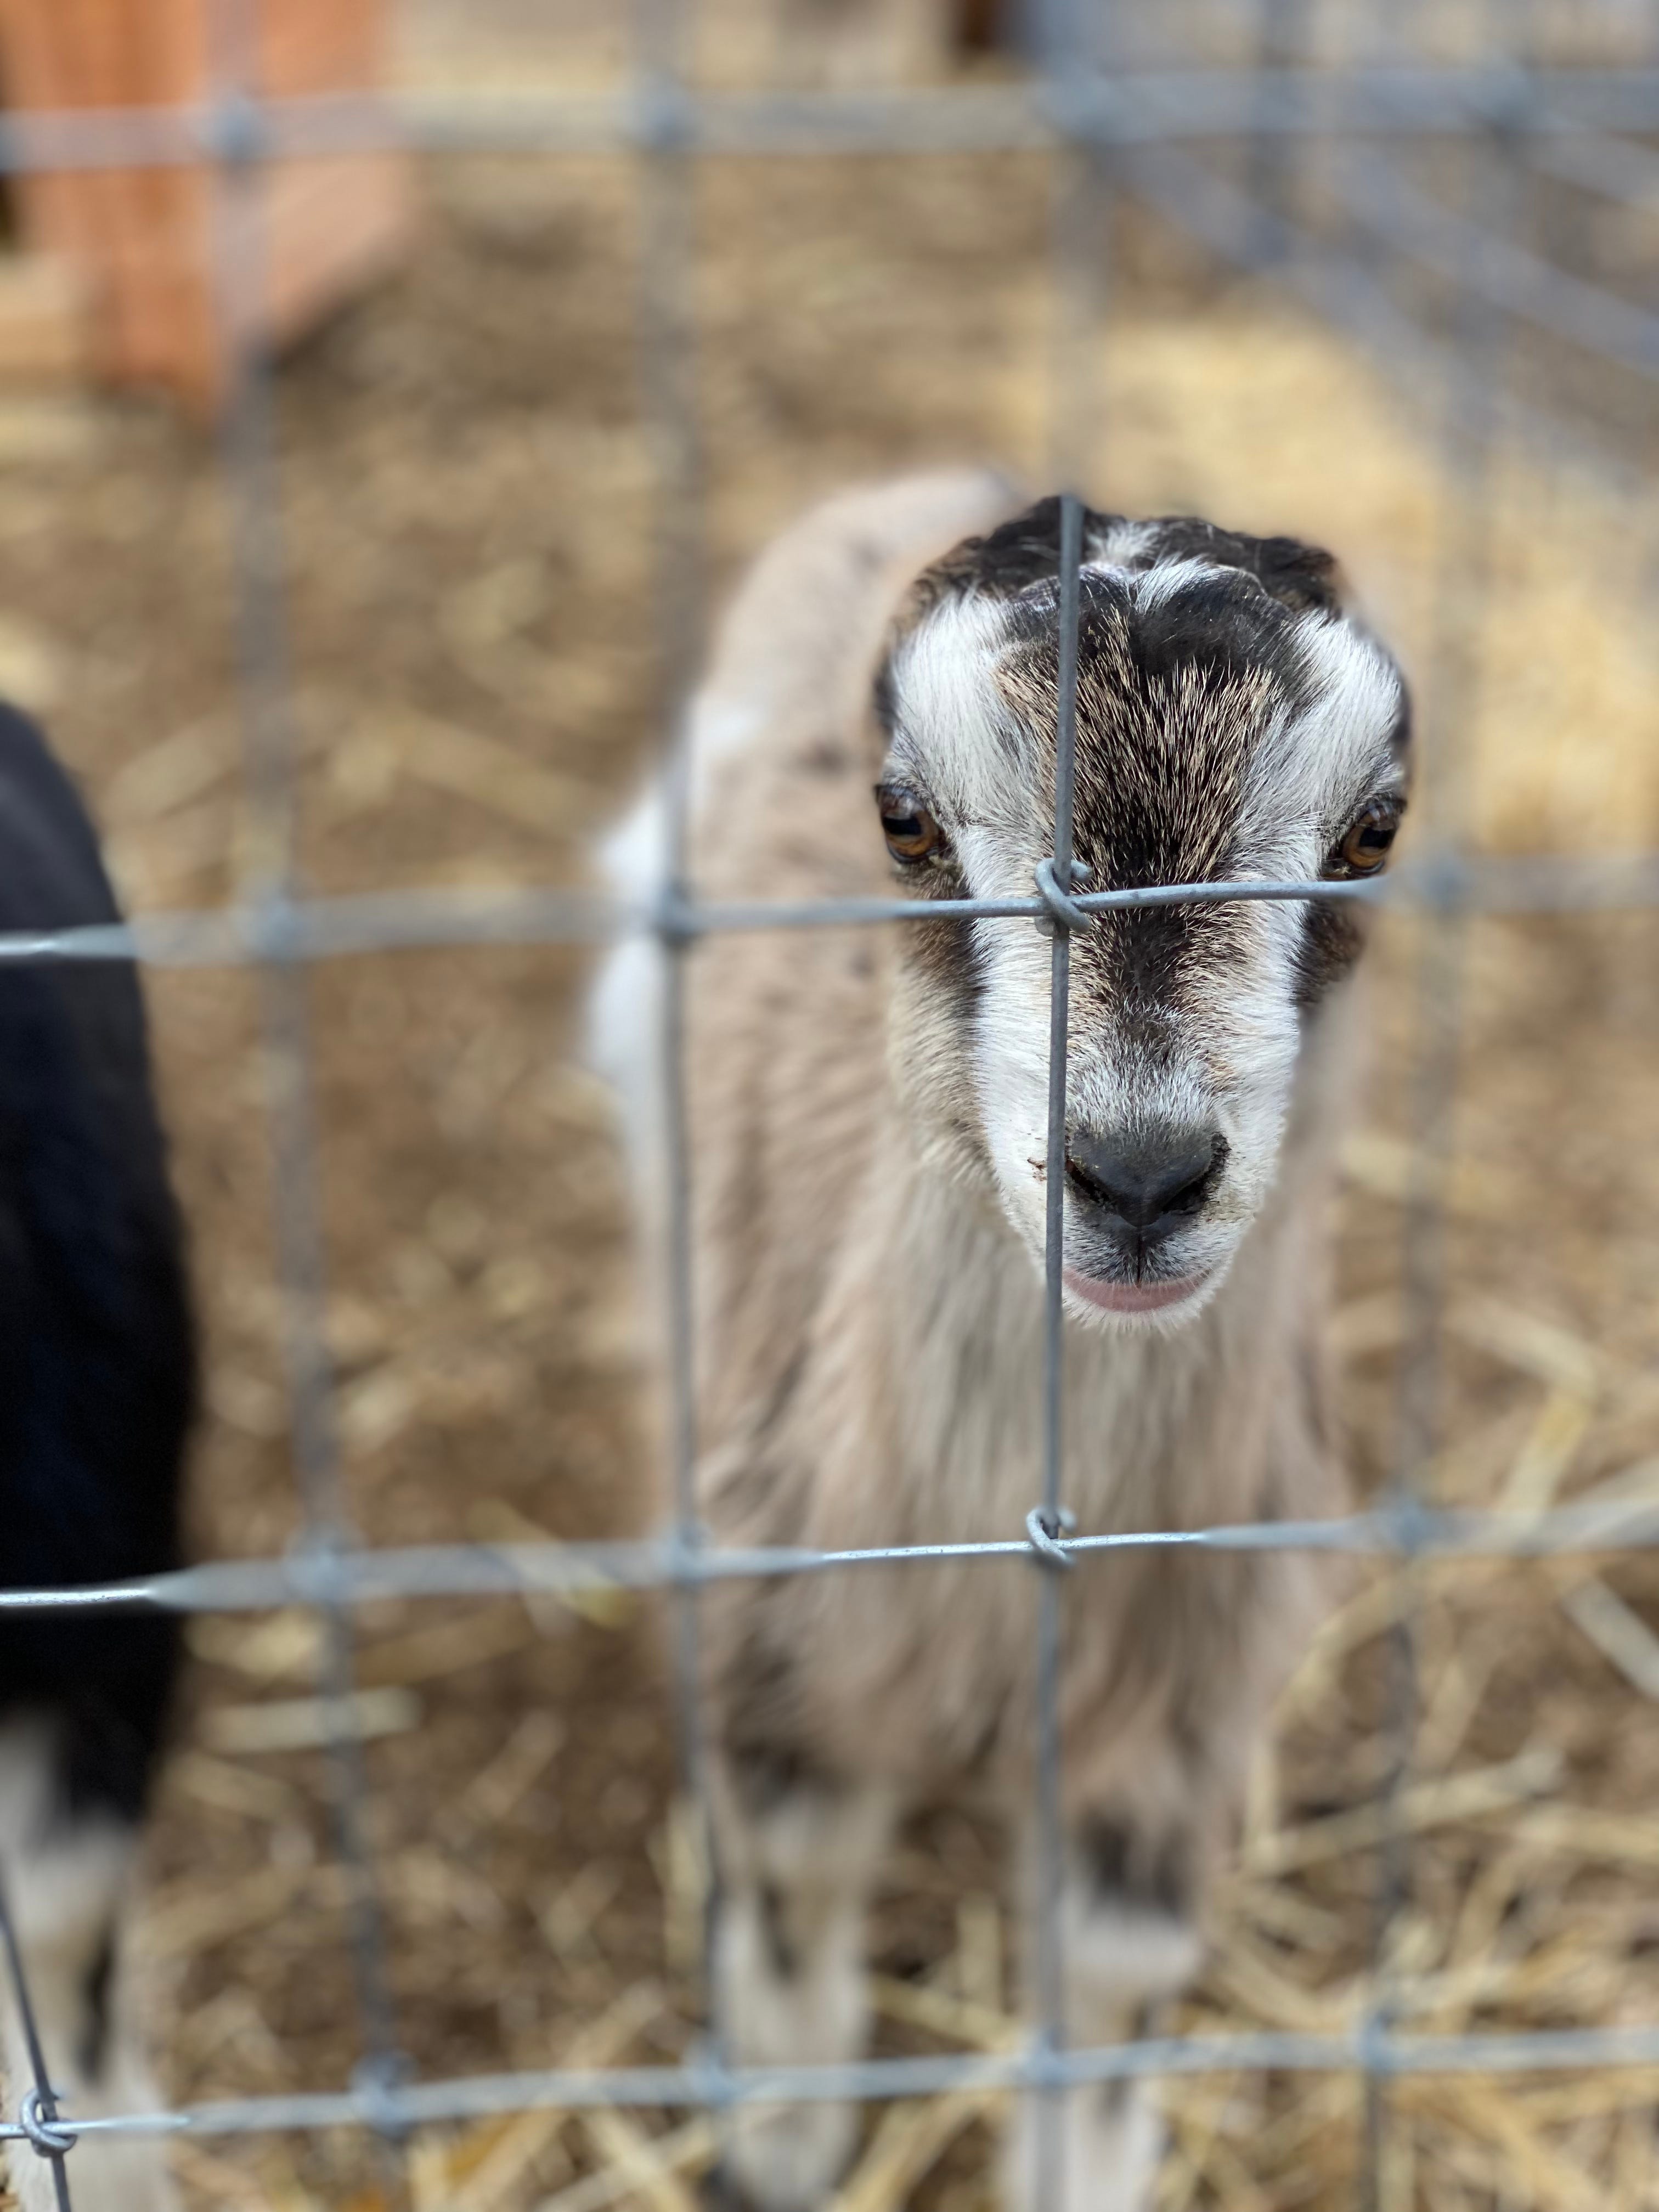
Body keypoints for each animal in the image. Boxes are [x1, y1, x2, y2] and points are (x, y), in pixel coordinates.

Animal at [592, 475, 1407, 2203]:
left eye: (1376, 831)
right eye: (904, 818)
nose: (1140, 1175)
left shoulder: (1173, 1725)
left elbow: (1105, 1994)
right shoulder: (774, 1645)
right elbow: (792, 1906)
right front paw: (782, 2144)